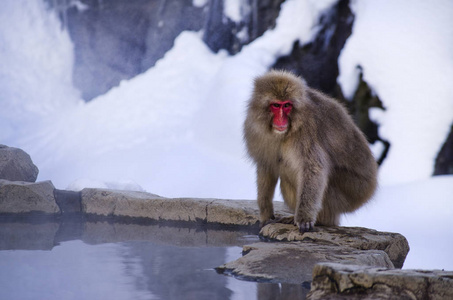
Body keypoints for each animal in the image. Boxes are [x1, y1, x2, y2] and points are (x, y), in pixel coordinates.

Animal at [244, 69, 378, 232]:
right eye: (276, 105)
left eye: (287, 105)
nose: (281, 119)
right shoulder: (255, 131)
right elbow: (266, 166)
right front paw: (266, 214)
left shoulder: (306, 132)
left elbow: (313, 169)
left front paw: (304, 218)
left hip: (352, 191)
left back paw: (322, 220)